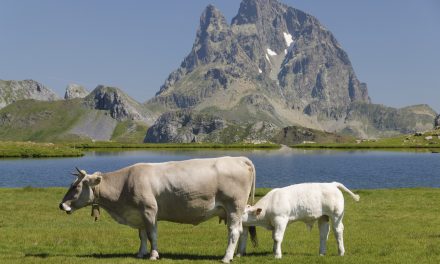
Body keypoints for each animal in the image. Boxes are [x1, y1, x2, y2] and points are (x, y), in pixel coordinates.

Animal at [60, 157, 256, 262]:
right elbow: (142, 235)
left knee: (234, 231)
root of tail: (238, 158)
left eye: (75, 187)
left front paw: (153, 255)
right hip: (236, 210)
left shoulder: (149, 211)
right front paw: (140, 253)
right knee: (242, 230)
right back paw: (238, 254)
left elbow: (152, 234)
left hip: (234, 207)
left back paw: (227, 257)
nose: (61, 205)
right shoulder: (138, 214)